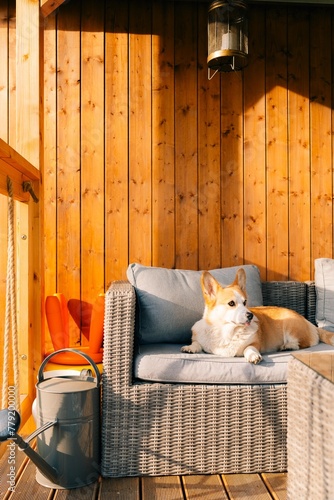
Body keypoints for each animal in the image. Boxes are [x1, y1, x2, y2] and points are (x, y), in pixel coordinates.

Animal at [181, 270, 334, 364]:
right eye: (231, 303)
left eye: (245, 302)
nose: (250, 315)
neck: (226, 331)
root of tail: (309, 322)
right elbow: (197, 343)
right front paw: (190, 348)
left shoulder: (254, 344)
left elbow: (249, 348)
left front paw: (253, 356)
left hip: (291, 327)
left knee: (304, 343)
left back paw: (288, 346)